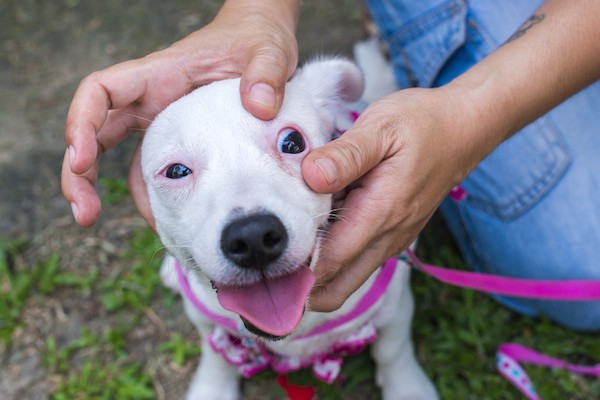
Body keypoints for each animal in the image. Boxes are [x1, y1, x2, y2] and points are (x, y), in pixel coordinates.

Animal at [143, 57, 438, 400]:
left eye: (292, 142)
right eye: (176, 171)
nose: (253, 238)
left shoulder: (395, 303)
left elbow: (393, 350)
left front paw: (408, 389)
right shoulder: (203, 316)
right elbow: (216, 354)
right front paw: (212, 388)